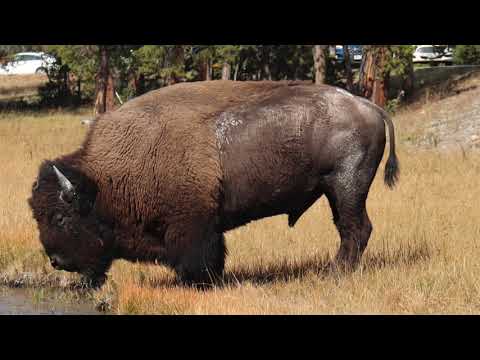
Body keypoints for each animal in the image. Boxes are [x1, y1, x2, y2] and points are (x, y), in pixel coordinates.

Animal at [28, 80, 400, 288]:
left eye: (59, 217)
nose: (55, 261)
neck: (105, 180)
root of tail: (367, 105)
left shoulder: (193, 226)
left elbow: (198, 257)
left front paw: (196, 284)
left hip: (346, 187)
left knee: (355, 229)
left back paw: (335, 273)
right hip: (337, 191)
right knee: (353, 229)